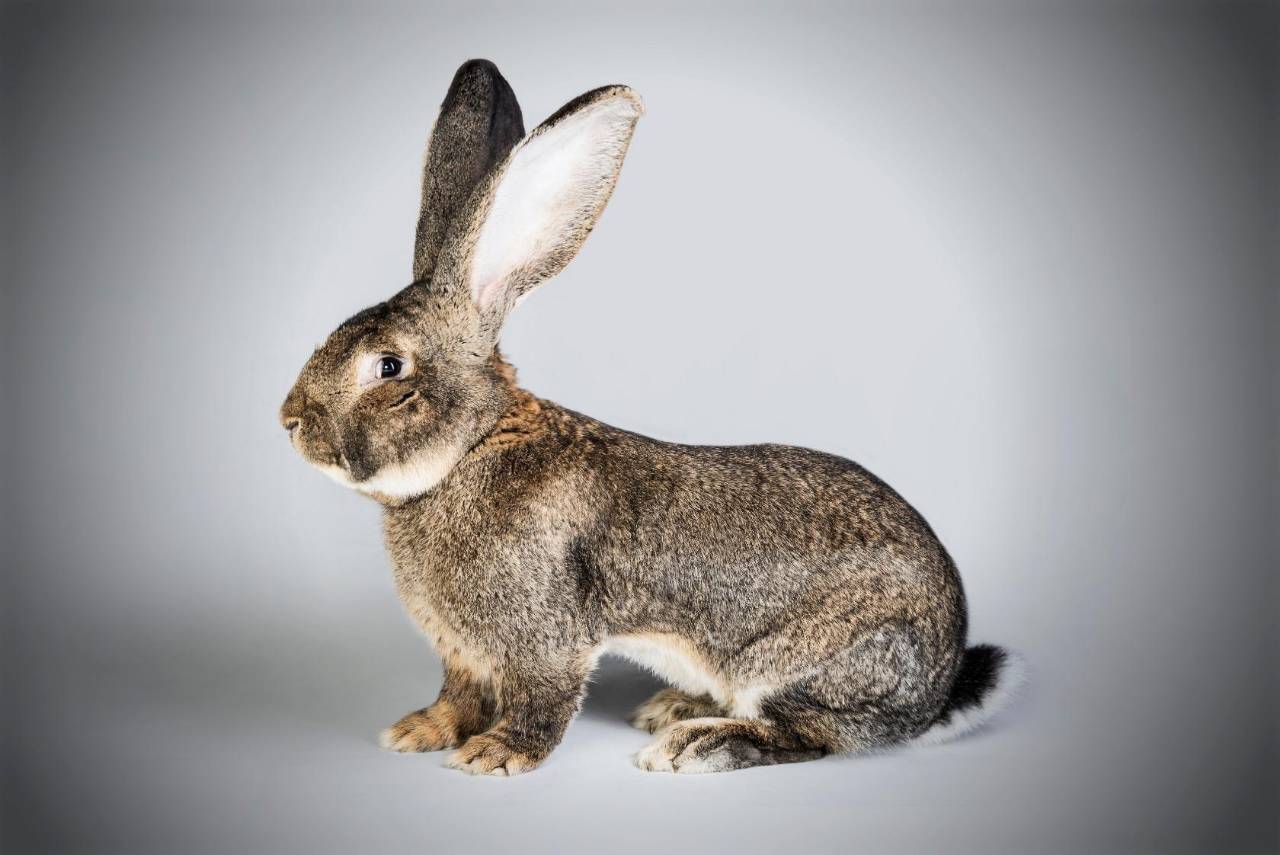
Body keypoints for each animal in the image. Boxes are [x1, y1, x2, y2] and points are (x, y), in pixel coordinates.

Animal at [280, 59, 1024, 776]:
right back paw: (673, 709)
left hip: (809, 663)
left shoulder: (542, 636)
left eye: (388, 368)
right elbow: (457, 696)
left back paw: (693, 744)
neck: (472, 447)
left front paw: (495, 756)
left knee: (813, 734)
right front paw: (418, 732)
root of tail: (938, 688)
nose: (289, 420)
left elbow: (543, 697)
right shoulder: (460, 651)